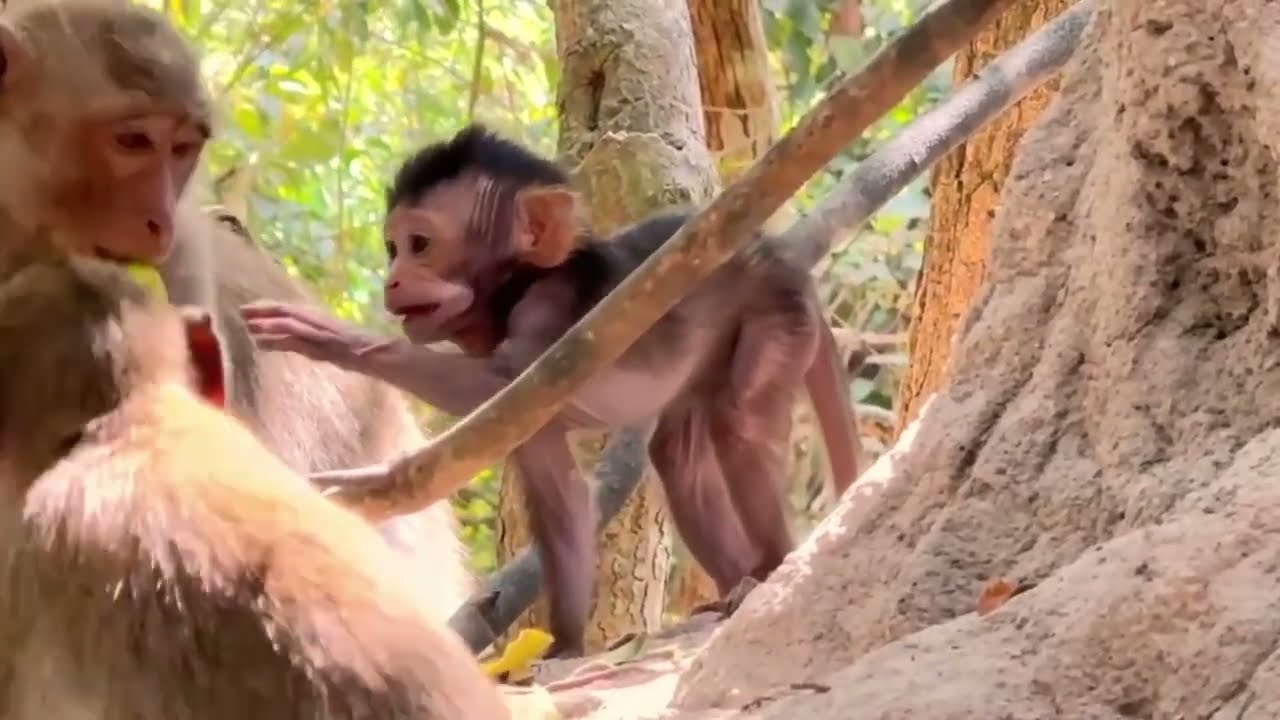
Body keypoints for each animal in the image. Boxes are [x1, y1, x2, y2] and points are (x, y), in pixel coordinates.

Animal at [242, 125, 863, 657]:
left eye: (419, 244)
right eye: (393, 247)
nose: (391, 279)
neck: (514, 289)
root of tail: (778, 254)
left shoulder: (549, 306)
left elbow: (501, 383)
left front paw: (331, 340)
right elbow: (556, 489)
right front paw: (562, 646)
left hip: (776, 309)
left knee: (740, 419)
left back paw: (770, 569)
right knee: (679, 456)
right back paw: (734, 580)